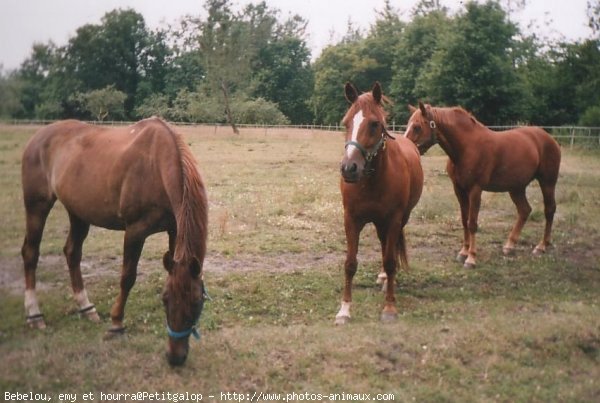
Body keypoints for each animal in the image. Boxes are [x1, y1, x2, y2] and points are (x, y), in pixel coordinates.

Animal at [20, 117, 209, 366]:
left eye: (197, 303)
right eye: (165, 299)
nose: (175, 357)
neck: (156, 166)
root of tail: (37, 137)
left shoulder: (174, 231)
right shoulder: (135, 232)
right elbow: (127, 278)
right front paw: (116, 324)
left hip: (78, 212)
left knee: (72, 253)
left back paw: (86, 308)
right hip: (37, 206)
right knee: (30, 253)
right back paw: (34, 314)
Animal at [338, 83, 422, 326]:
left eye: (375, 124)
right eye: (346, 122)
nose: (349, 168)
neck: (372, 181)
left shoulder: (393, 220)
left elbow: (391, 261)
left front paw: (390, 308)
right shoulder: (351, 220)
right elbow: (350, 264)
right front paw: (344, 310)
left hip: (399, 220)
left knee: (389, 250)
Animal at [406, 103, 560, 268]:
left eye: (417, 127)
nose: (407, 148)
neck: (467, 147)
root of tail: (549, 138)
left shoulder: (475, 190)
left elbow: (472, 223)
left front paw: (471, 258)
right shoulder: (459, 190)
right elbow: (464, 221)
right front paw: (463, 252)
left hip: (547, 182)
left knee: (549, 210)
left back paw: (541, 246)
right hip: (516, 188)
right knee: (525, 210)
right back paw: (509, 246)